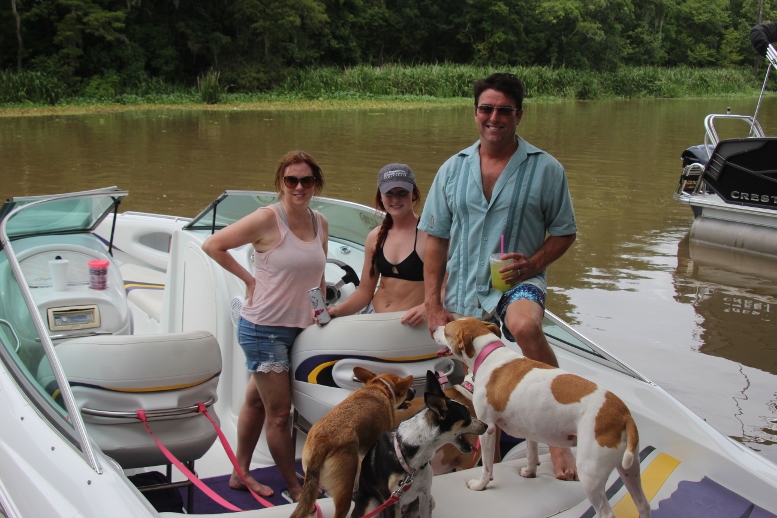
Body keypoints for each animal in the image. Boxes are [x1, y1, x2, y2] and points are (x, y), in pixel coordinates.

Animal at [351, 370, 488, 518]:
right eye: (467, 416)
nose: (486, 425)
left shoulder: (424, 496)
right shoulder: (392, 503)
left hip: (428, 501)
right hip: (372, 503)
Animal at [434, 317, 650, 518]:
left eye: (446, 330)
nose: (433, 328)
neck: (489, 355)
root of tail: (624, 414)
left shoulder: (488, 429)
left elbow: (487, 466)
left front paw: (480, 485)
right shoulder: (529, 428)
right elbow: (531, 453)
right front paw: (530, 472)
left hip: (590, 473)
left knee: (607, 512)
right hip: (630, 470)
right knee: (643, 504)